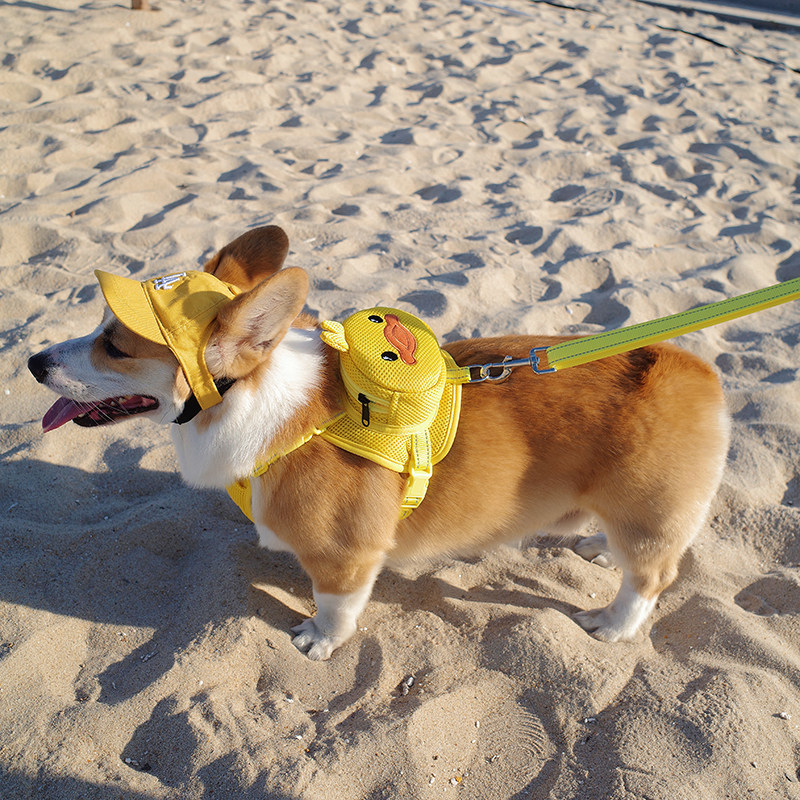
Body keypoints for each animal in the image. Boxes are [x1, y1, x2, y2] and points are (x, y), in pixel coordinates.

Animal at [28, 225, 730, 660]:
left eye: (116, 346)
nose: (32, 362)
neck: (253, 398)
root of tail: (698, 371)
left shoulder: (347, 556)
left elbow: (335, 605)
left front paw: (318, 642)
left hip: (648, 515)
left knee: (651, 576)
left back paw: (610, 625)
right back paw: (595, 544)